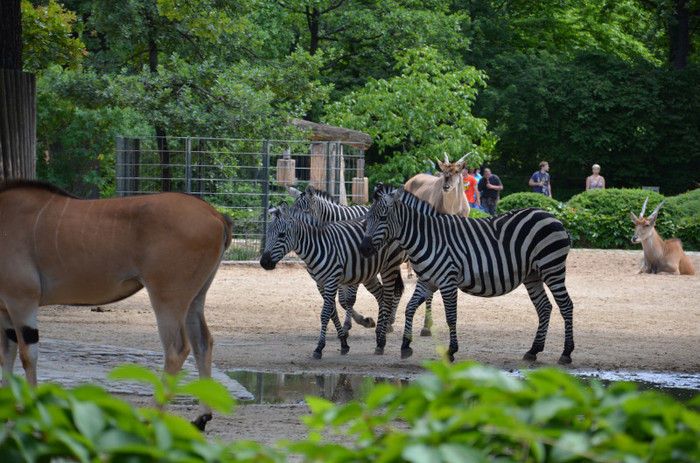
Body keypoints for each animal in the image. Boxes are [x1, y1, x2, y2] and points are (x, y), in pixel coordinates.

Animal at [0, 179, 235, 430]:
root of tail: (215, 215)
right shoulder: (5, 310)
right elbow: (7, 356)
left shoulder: (22, 300)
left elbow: (27, 356)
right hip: (195, 298)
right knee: (203, 342)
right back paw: (201, 417)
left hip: (168, 298)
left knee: (177, 349)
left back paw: (149, 417)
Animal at [260, 202, 404, 358]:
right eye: (267, 233)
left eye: (281, 235)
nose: (264, 262)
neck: (317, 246)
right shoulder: (320, 283)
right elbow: (333, 311)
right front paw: (344, 343)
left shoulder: (332, 280)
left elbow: (326, 313)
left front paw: (319, 348)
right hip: (369, 273)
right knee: (381, 295)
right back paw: (378, 333)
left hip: (389, 266)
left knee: (389, 297)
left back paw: (382, 340)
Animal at [288, 184, 434, 338]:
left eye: (305, 211)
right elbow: (342, 300)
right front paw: (362, 321)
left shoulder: (355, 267)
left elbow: (349, 299)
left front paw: (348, 325)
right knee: (396, 291)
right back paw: (389, 321)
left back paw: (426, 326)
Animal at [360, 183, 576, 364]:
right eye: (367, 218)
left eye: (382, 218)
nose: (364, 249)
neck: (427, 237)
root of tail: (554, 218)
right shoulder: (427, 282)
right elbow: (410, 308)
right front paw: (406, 346)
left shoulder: (447, 281)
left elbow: (451, 317)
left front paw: (451, 351)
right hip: (533, 275)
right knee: (544, 307)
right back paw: (533, 350)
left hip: (552, 268)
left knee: (566, 306)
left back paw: (566, 353)